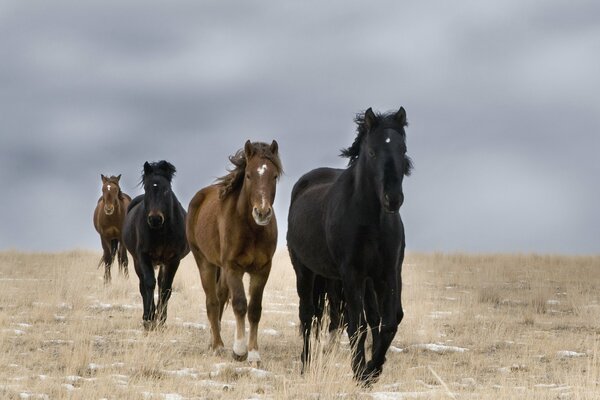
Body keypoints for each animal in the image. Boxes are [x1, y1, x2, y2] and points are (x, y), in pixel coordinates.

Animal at [121, 161, 188, 330]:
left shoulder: (173, 259)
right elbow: (149, 284)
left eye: (166, 189)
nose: (155, 219)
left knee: (160, 284)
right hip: (137, 261)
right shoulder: (143, 256)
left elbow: (166, 289)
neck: (161, 232)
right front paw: (149, 319)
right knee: (142, 286)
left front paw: (161, 321)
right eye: (146, 188)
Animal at [186, 140, 282, 366]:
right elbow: (240, 304)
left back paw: (214, 340)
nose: (262, 213)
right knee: (212, 301)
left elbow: (254, 309)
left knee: (220, 297)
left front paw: (254, 353)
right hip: (205, 262)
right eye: (248, 175)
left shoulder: (262, 270)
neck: (251, 229)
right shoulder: (233, 268)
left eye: (274, 176)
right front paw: (239, 351)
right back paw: (217, 345)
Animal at [288, 106, 412, 384]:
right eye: (372, 151)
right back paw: (305, 364)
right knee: (307, 315)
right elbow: (357, 324)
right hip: (305, 272)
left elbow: (389, 321)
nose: (393, 199)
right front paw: (359, 371)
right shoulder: (351, 274)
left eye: (402, 149)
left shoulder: (388, 272)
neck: (371, 220)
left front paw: (373, 369)